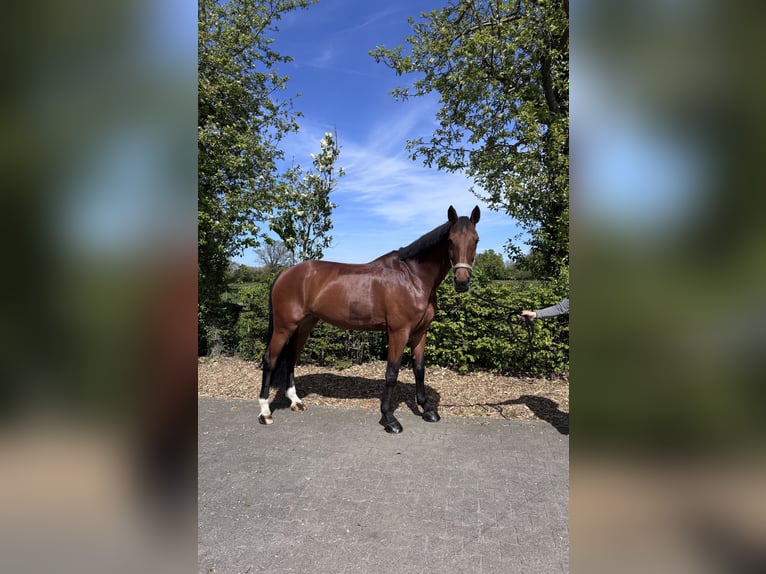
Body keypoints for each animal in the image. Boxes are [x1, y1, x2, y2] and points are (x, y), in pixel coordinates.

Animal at [258, 205, 480, 433]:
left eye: (476, 240)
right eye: (450, 240)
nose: (462, 282)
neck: (413, 278)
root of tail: (285, 273)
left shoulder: (420, 332)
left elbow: (419, 369)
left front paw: (427, 410)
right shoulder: (399, 332)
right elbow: (391, 373)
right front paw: (389, 418)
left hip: (304, 325)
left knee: (291, 358)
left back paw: (296, 401)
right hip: (284, 327)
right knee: (270, 360)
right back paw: (265, 412)